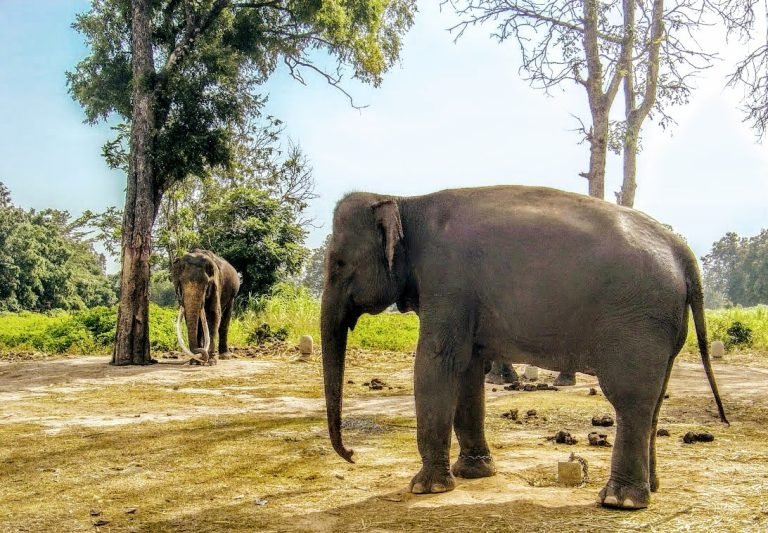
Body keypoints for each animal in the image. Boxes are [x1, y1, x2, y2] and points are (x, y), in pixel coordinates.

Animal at [321, 185, 728, 510]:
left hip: (637, 320)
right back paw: (652, 489)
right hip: (665, 327)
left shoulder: (447, 283)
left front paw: (426, 488)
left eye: (337, 263)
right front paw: (474, 473)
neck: (405, 201)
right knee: (654, 400)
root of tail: (682, 250)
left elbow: (437, 363)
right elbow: (468, 371)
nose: (352, 455)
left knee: (629, 398)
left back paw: (620, 501)